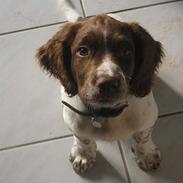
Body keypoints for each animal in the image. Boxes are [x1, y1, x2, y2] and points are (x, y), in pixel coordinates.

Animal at [35, 13, 163, 174]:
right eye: (83, 51)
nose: (108, 84)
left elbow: (143, 136)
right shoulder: (72, 120)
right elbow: (82, 138)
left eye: (126, 51)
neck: (106, 114)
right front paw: (83, 155)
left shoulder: (148, 117)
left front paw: (146, 155)